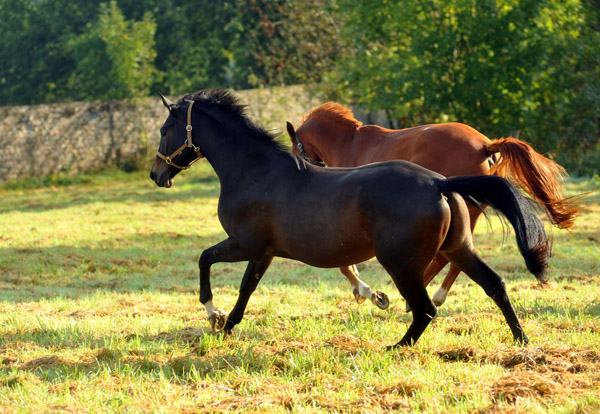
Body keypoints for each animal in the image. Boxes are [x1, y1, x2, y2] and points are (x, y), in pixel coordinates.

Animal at [286, 102, 576, 308]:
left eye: (297, 149)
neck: (349, 144)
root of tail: (484, 145)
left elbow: (344, 264)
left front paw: (368, 292)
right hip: (469, 213)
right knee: (457, 258)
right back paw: (433, 294)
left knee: (445, 257)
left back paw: (417, 294)